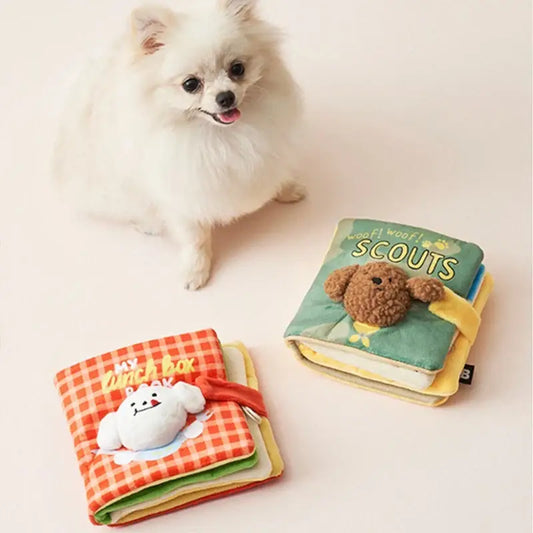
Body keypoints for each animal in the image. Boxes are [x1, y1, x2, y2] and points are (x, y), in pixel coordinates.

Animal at [55, 0, 304, 288]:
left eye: (237, 69)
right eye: (191, 84)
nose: (226, 97)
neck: (222, 137)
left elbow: (274, 174)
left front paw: (286, 190)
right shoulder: (180, 197)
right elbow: (195, 238)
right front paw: (195, 270)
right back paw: (147, 224)